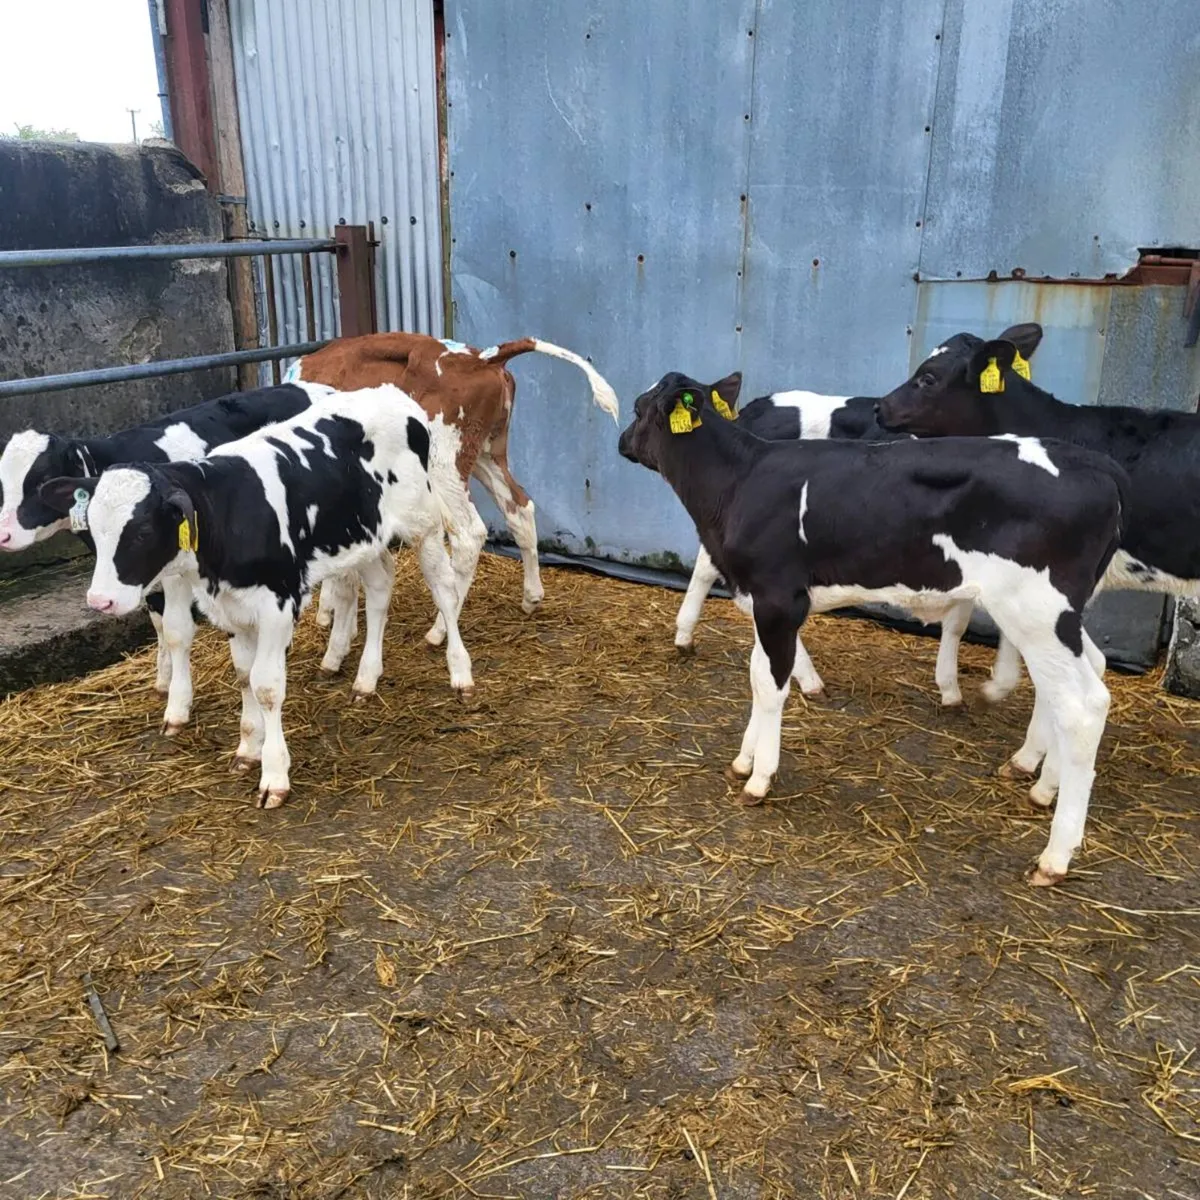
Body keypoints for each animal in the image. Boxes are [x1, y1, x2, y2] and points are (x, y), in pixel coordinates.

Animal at [0, 384, 342, 732]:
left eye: (41, 479)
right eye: (2, 481)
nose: (4, 534)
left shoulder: (177, 572)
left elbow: (176, 631)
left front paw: (177, 705)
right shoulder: (142, 575)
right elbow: (159, 625)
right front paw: (163, 679)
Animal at [38, 383, 472, 809]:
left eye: (143, 531)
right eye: (92, 526)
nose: (100, 601)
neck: (226, 514)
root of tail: (390, 392)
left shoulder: (277, 606)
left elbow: (266, 686)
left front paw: (275, 775)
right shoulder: (232, 608)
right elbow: (244, 676)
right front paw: (248, 748)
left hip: (424, 524)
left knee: (444, 589)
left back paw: (460, 672)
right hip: (364, 537)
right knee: (381, 587)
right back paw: (365, 679)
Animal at [287, 333, 620, 644]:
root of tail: (484, 357)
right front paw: (329, 610)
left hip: (443, 463)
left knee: (469, 533)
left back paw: (440, 629)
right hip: (488, 453)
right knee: (520, 507)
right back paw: (531, 596)